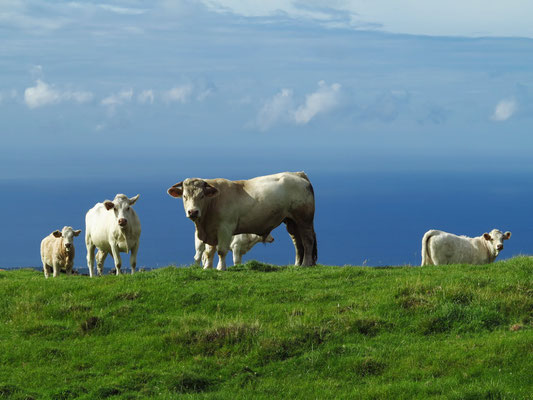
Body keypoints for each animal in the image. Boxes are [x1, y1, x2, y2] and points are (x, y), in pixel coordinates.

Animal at [167, 170, 316, 270]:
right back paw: (297, 265)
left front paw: (220, 268)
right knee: (297, 243)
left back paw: (306, 264)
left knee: (308, 241)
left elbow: (221, 251)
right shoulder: (211, 231)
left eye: (202, 195)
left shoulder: (225, 228)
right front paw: (207, 268)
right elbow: (209, 252)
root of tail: (297, 174)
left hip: (304, 220)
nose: (193, 212)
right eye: (184, 196)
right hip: (291, 221)